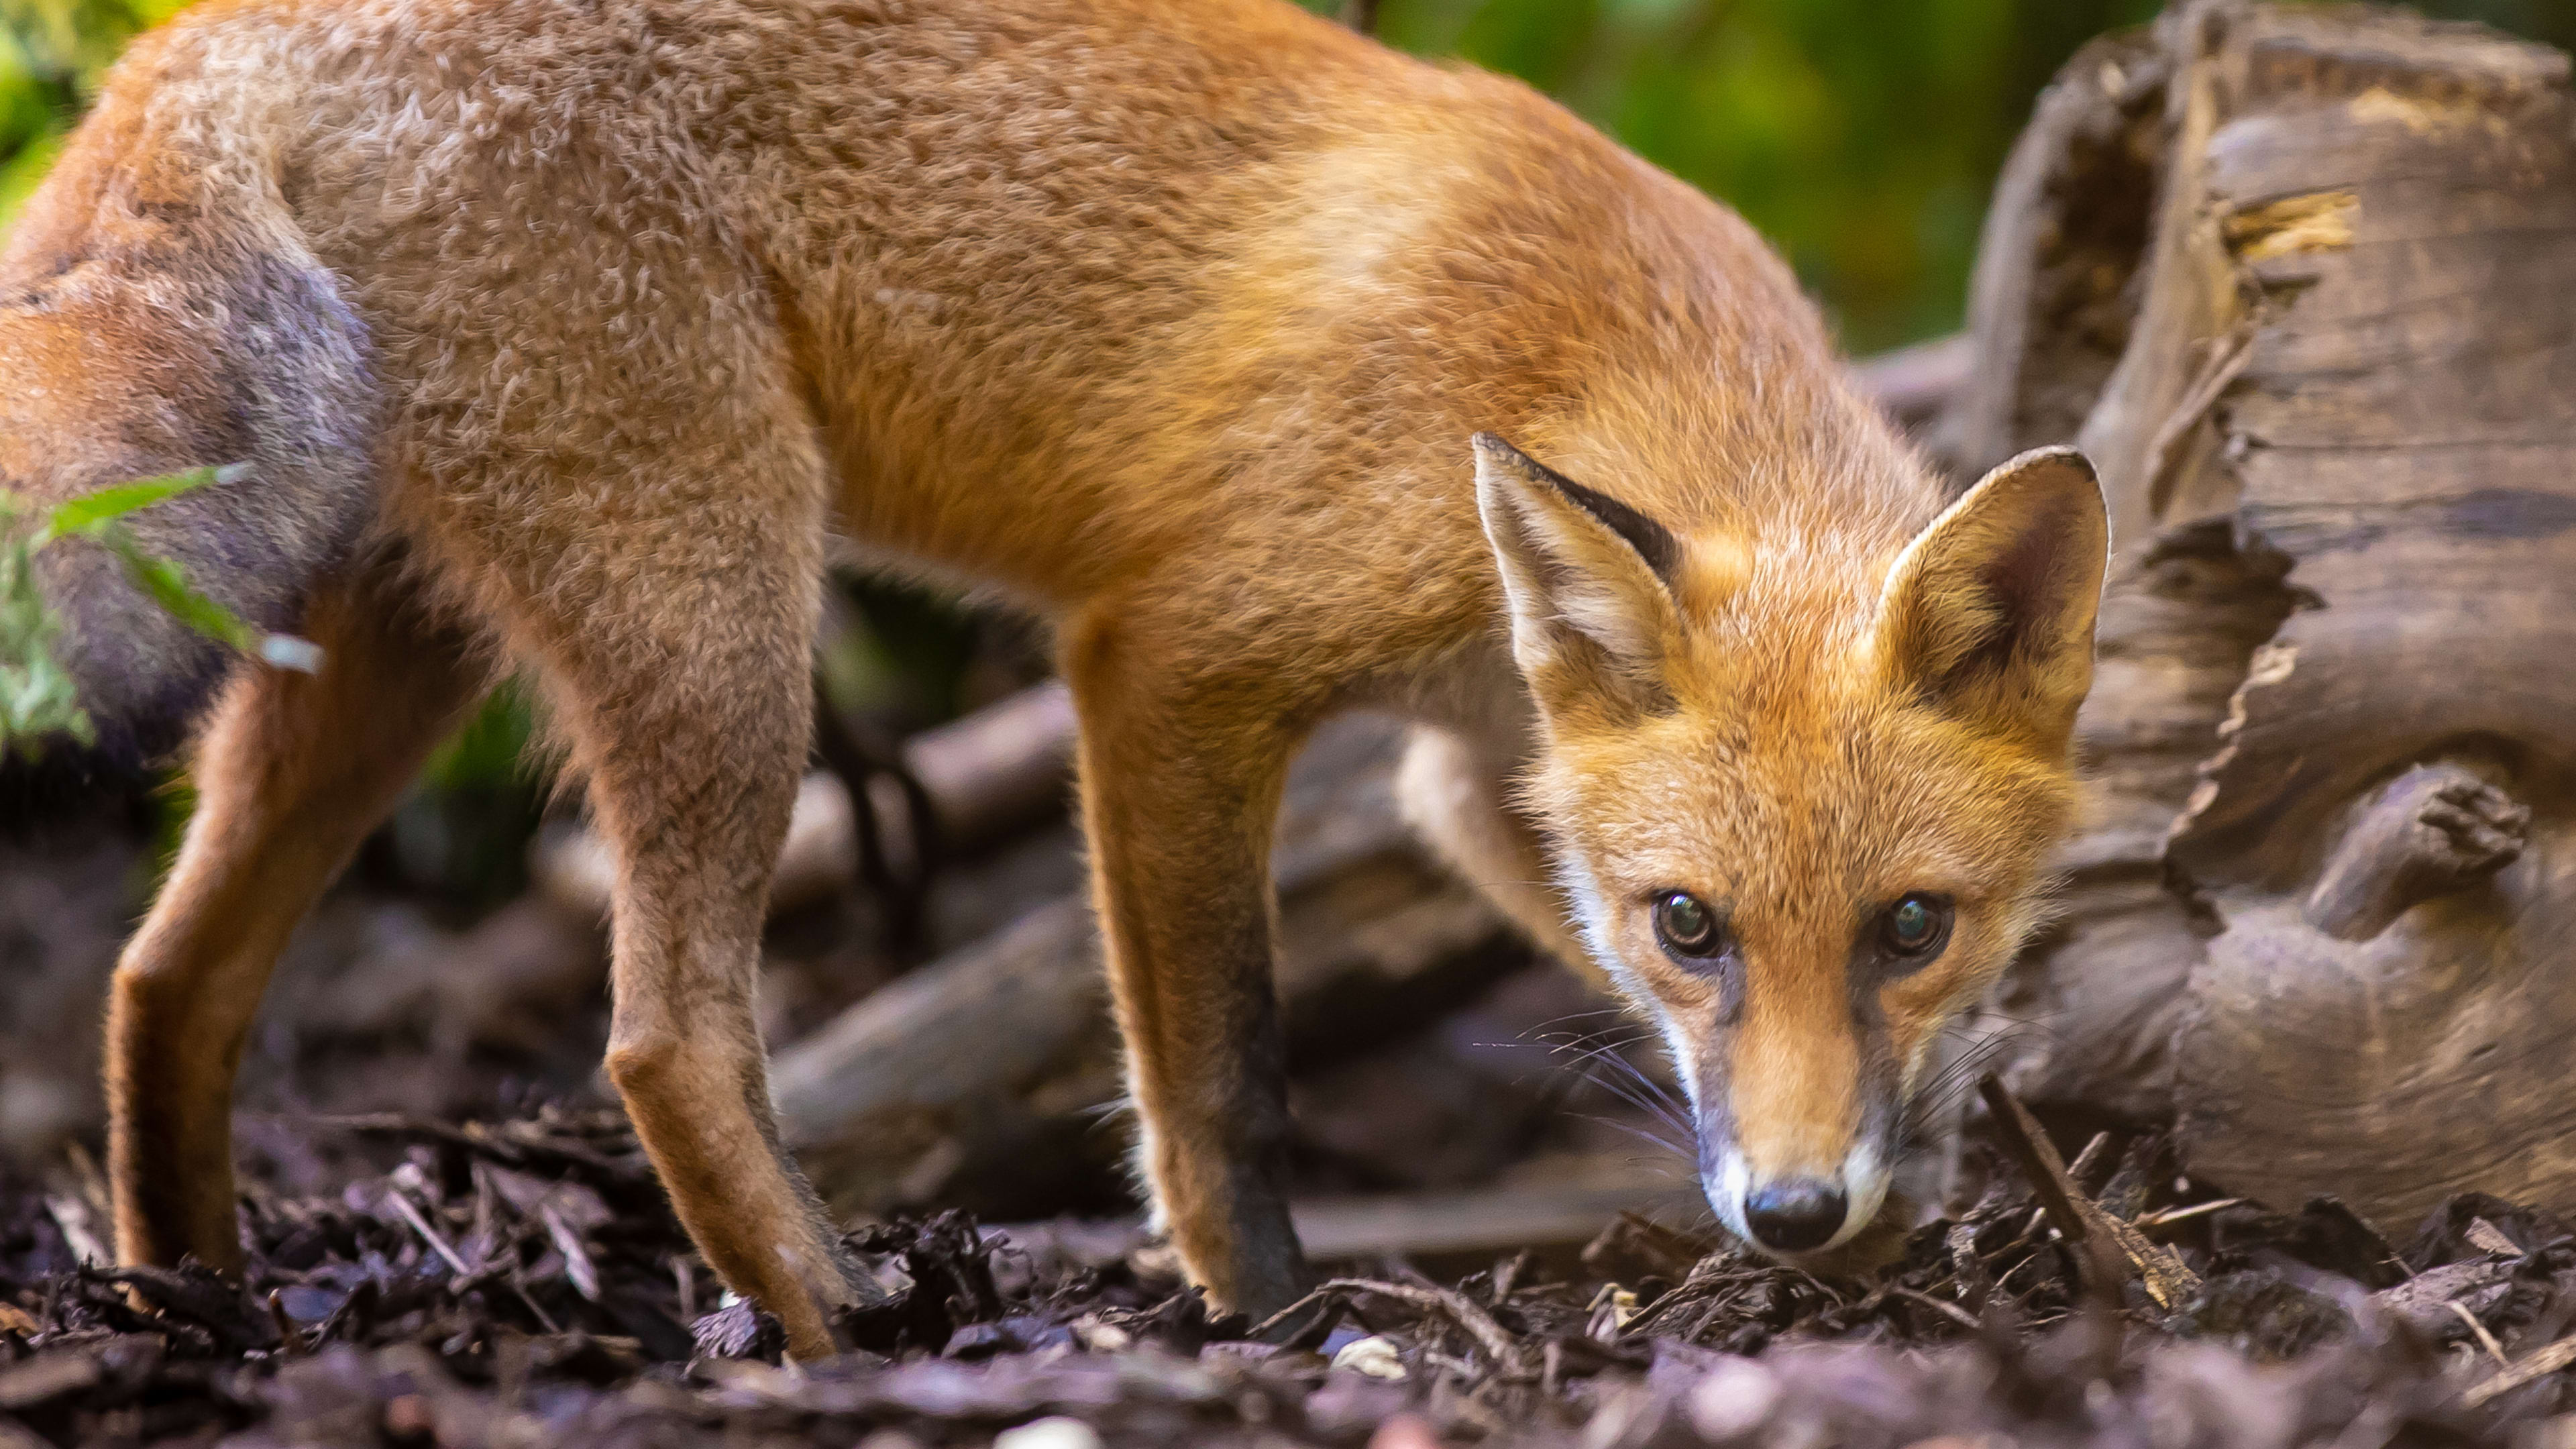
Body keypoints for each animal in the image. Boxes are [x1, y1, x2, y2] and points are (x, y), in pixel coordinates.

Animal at [0, 0, 2102, 1350]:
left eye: (1913, 926)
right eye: (1695, 923)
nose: (1796, 1218)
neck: (1571, 353)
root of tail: (204, 29)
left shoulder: (1484, 769)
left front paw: (1904, 1176)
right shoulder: (1171, 661)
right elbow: (1224, 1079)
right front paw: (1272, 1320)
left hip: (380, 658)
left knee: (163, 979)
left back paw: (192, 1308)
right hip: (726, 613)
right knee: (658, 1035)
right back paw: (837, 1321)